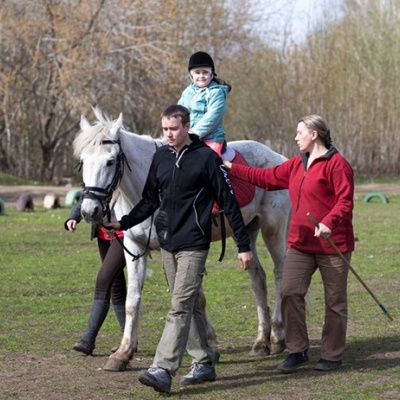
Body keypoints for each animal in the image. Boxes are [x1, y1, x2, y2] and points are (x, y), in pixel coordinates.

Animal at [73, 107, 290, 372]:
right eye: (83, 161)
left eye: (111, 161)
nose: (89, 210)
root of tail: (277, 157)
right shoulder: (134, 247)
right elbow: (133, 301)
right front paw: (123, 353)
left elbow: (194, 297)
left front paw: (209, 346)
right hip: (247, 232)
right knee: (258, 278)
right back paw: (261, 341)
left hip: (273, 230)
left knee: (280, 273)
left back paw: (278, 336)